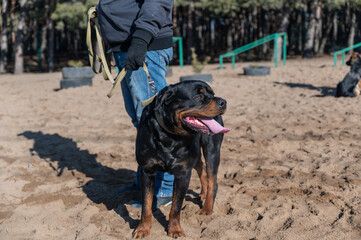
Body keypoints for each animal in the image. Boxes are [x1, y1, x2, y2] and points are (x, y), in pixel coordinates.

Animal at [132, 80, 231, 238]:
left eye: (212, 94)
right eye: (198, 97)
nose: (223, 101)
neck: (170, 136)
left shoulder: (183, 173)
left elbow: (176, 206)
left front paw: (175, 229)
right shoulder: (147, 170)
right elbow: (146, 205)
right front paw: (142, 229)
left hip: (212, 150)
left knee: (213, 180)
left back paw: (207, 207)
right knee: (201, 169)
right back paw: (203, 194)